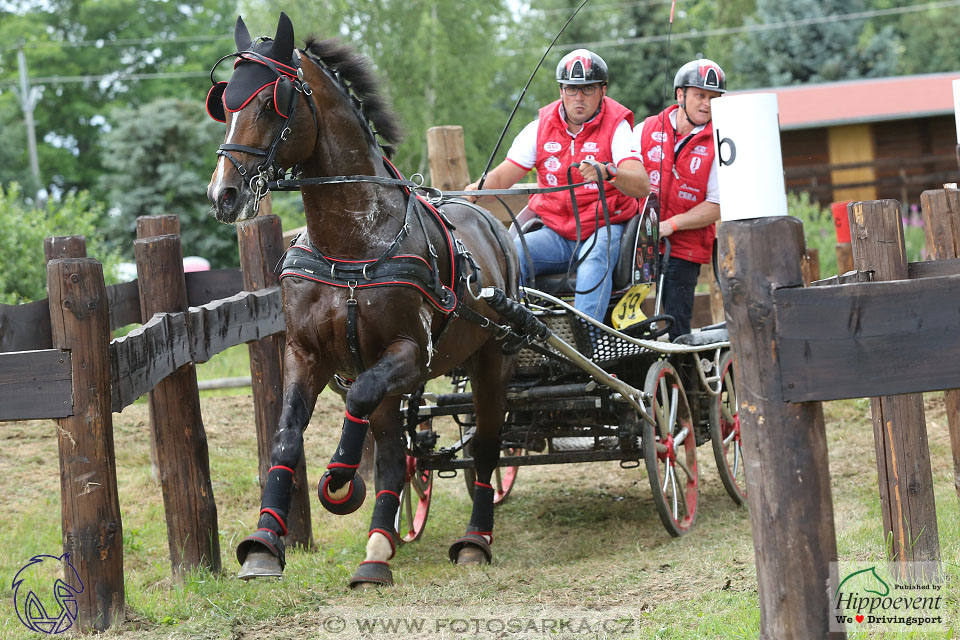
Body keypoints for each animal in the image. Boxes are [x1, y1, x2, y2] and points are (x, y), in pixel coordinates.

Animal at [203, 12, 516, 588]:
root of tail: (490, 220)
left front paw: (340, 480)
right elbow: (287, 437)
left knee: (485, 446)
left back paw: (474, 539)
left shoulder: (409, 353)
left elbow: (356, 403)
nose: (223, 195)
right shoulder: (306, 354)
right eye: (225, 104)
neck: (352, 245)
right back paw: (377, 550)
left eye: (271, 102)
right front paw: (263, 543)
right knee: (395, 454)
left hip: (489, 362)